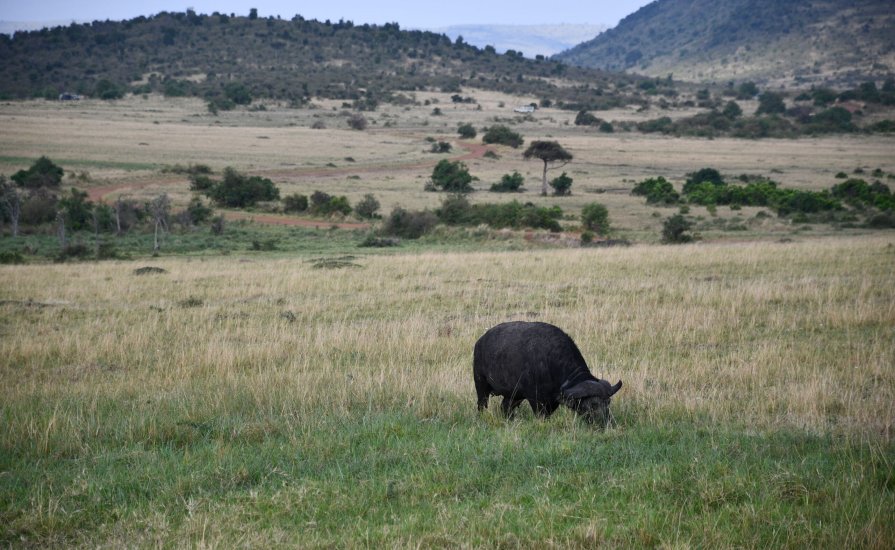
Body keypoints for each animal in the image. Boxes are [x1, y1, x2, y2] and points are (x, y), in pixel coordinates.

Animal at [473, 321, 622, 427]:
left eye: (608, 402)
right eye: (593, 404)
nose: (607, 423)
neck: (550, 362)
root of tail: (480, 341)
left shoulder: (552, 400)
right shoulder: (535, 399)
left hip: (513, 395)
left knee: (505, 407)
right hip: (481, 383)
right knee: (482, 404)